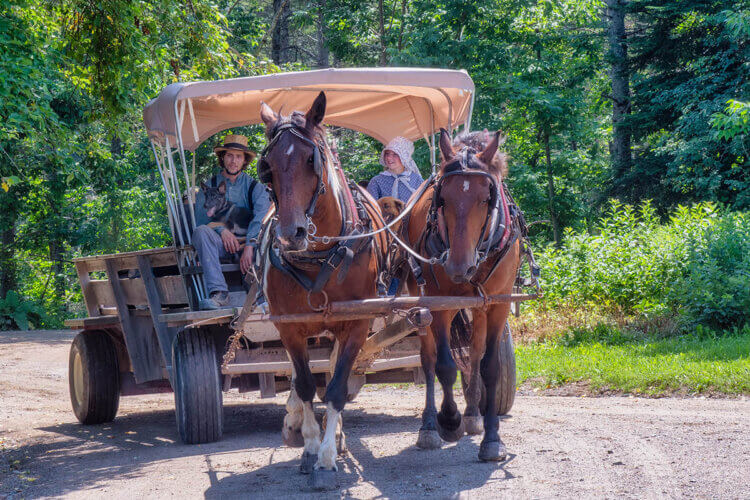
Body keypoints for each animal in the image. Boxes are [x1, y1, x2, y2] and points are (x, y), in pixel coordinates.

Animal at [258, 92, 388, 490]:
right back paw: (295, 421)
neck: (319, 257)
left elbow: (336, 387)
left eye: (310, 159)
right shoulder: (289, 325)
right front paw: (311, 446)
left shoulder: (357, 324)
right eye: (267, 166)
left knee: (333, 375)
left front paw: (328, 456)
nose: (291, 233)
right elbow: (304, 385)